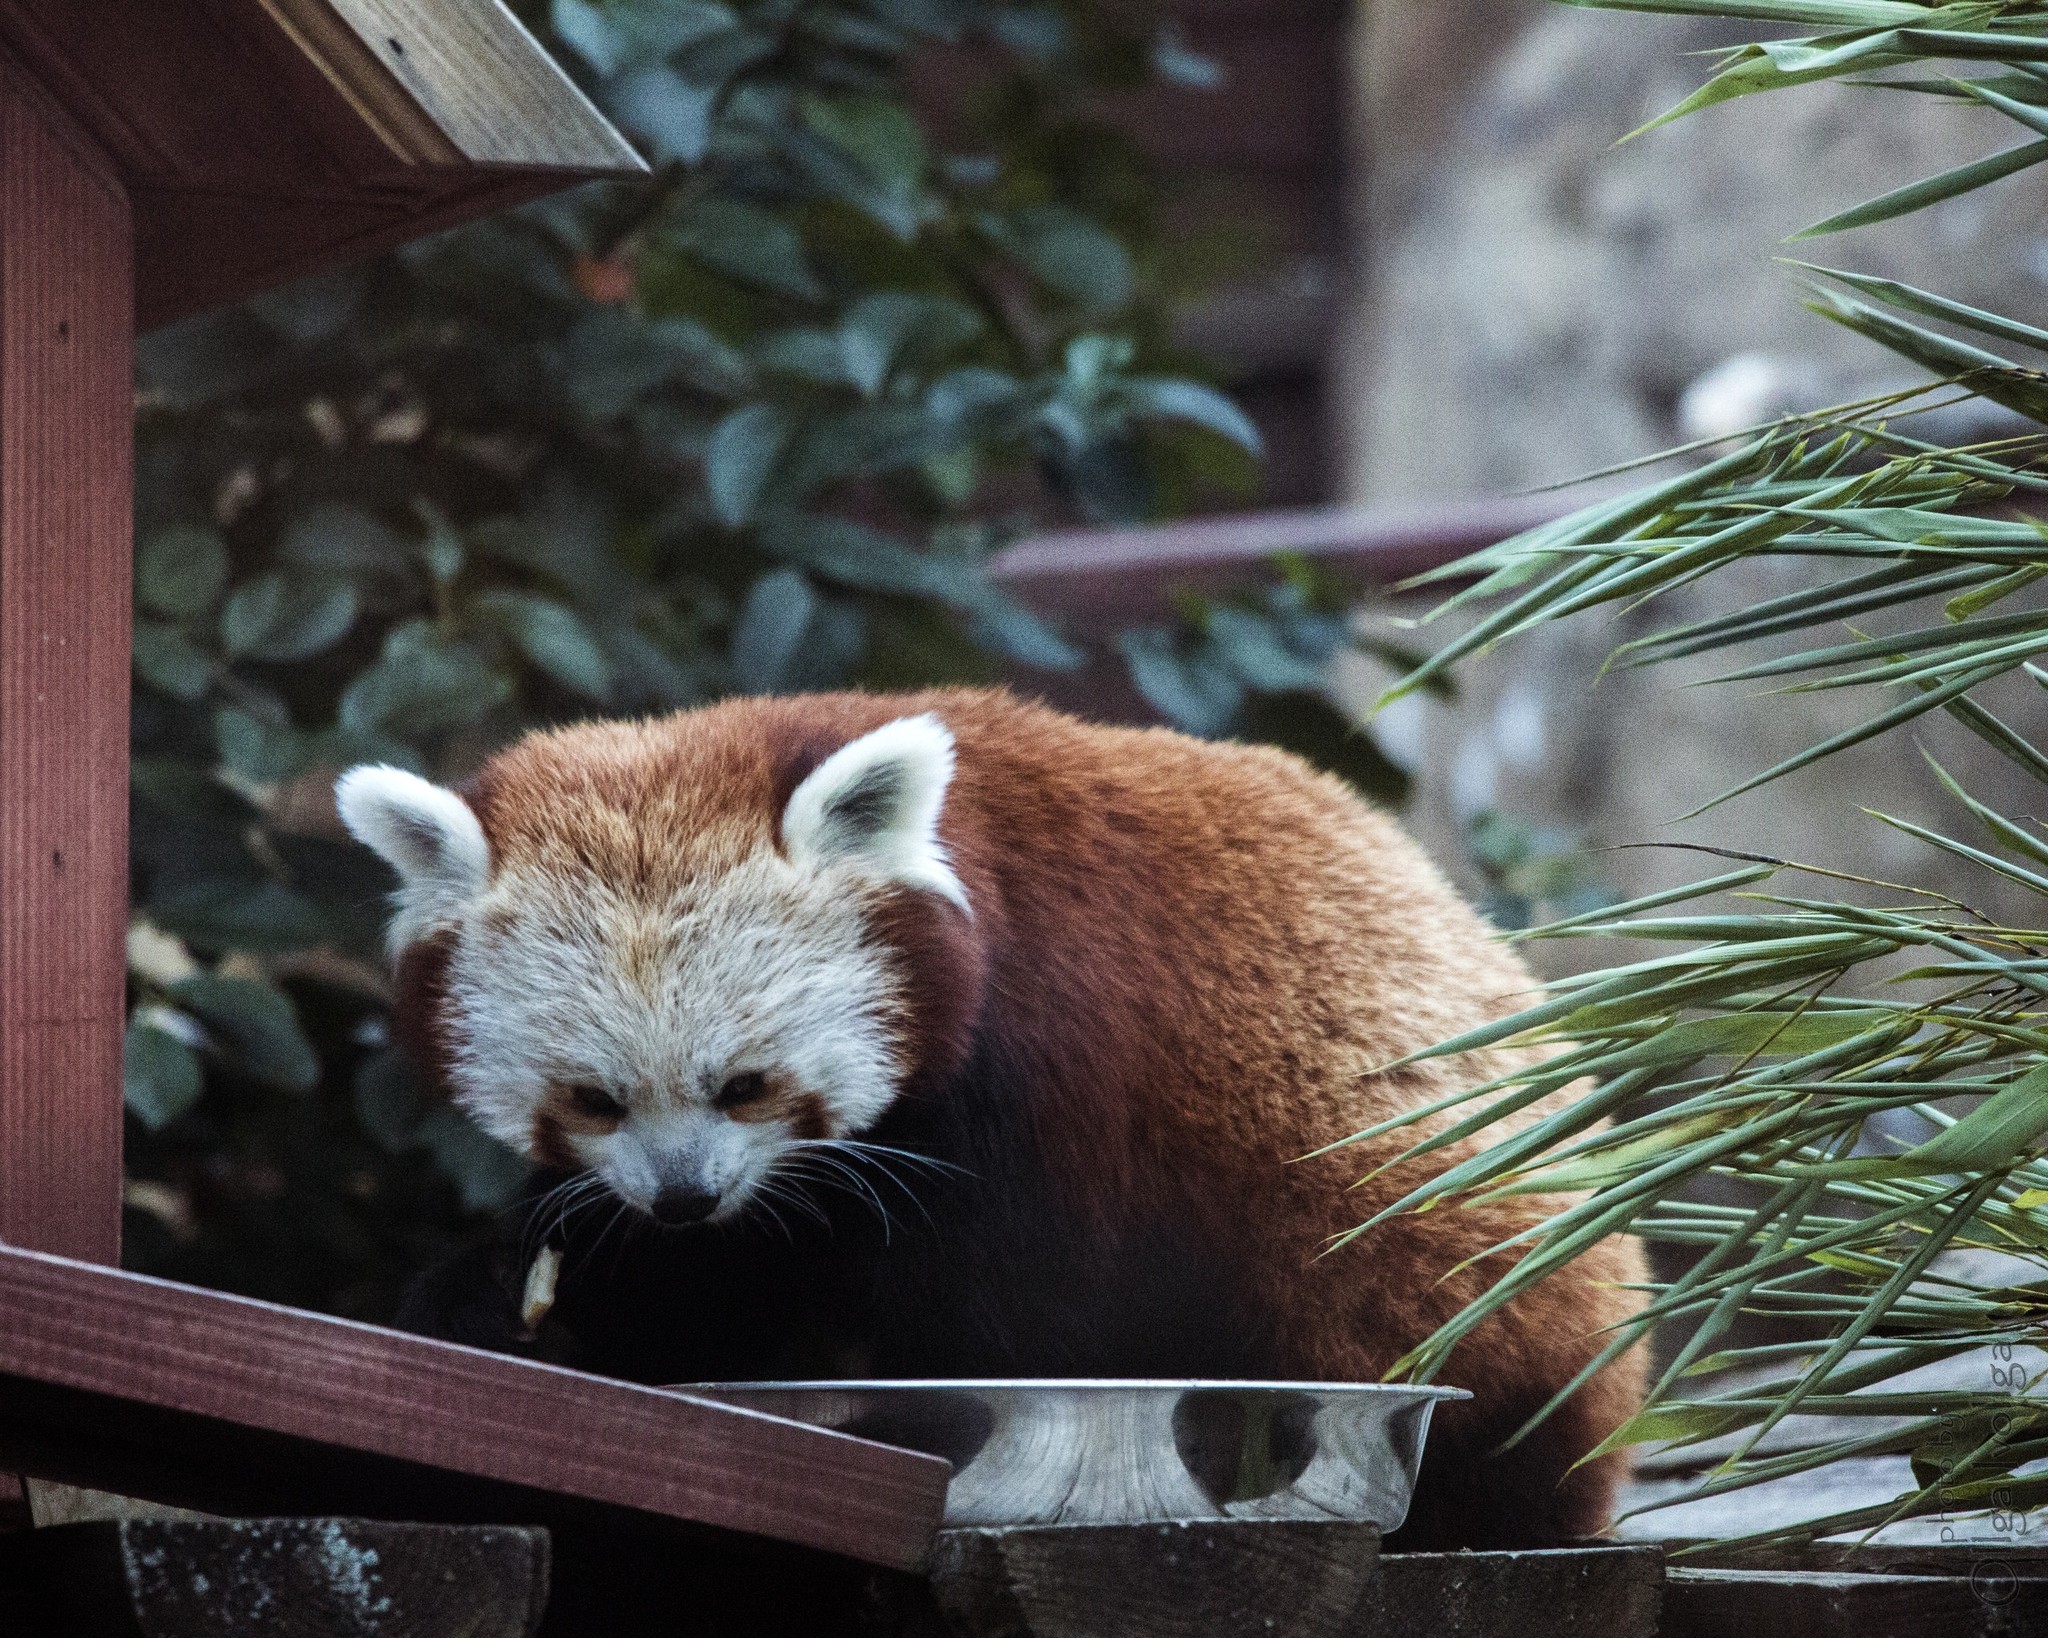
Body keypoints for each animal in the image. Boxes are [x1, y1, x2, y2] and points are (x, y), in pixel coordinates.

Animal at [339, 687, 1646, 1547]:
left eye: (745, 1084)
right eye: (595, 1099)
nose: (682, 1196)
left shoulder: (1053, 1069)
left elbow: (1018, 1311)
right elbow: (705, 1283)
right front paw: (499, 1303)